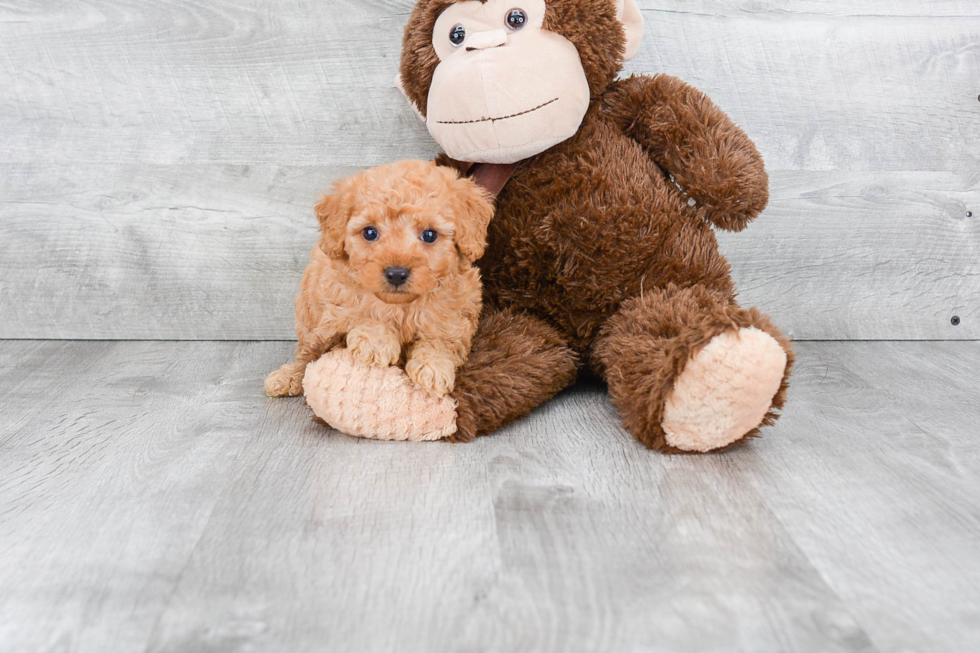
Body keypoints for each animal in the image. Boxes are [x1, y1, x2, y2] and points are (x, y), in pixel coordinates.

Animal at [264, 160, 494, 400]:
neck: (402, 306)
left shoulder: (456, 316)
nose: (396, 273)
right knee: (307, 354)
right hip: (311, 324)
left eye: (429, 235)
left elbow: (442, 339)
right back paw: (287, 377)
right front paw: (375, 342)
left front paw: (433, 368)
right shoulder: (338, 308)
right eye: (370, 233)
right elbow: (363, 314)